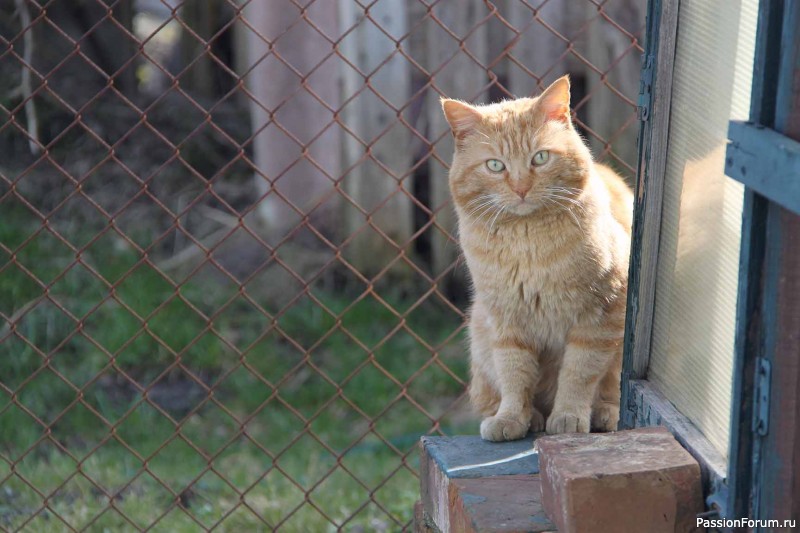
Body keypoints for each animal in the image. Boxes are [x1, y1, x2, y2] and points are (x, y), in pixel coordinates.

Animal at [440, 76, 636, 440]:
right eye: (495, 165)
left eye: (540, 158)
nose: (521, 188)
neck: (529, 242)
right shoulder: (506, 321)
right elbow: (514, 375)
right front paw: (511, 418)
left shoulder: (599, 316)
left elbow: (578, 372)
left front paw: (569, 417)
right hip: (479, 331)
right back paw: (530, 417)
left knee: (610, 391)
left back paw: (605, 413)